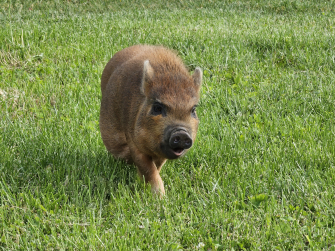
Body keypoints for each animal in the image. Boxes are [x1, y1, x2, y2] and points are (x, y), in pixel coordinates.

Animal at [99, 44, 202, 195]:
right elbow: (148, 169)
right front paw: (159, 197)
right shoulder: (134, 141)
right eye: (157, 107)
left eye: (193, 110)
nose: (181, 133)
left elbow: (156, 168)